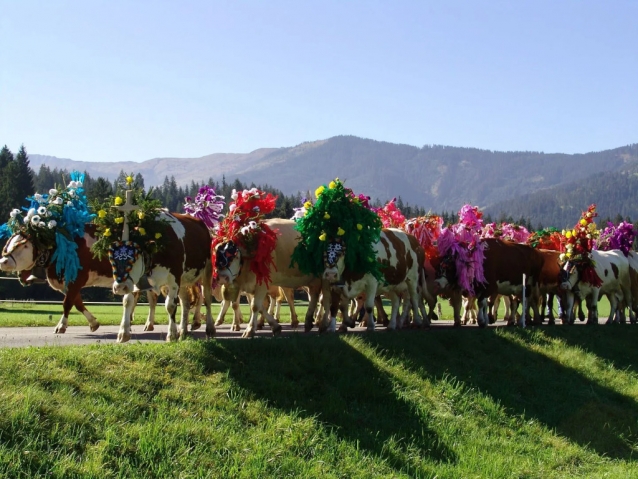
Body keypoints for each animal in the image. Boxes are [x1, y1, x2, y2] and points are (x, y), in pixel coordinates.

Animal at [112, 212, 215, 344]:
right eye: (112, 259)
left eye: (133, 258)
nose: (119, 287)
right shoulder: (134, 282)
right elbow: (127, 301)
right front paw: (123, 333)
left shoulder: (174, 279)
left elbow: (170, 306)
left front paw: (171, 335)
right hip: (183, 280)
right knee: (185, 302)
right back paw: (183, 331)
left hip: (207, 271)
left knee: (207, 298)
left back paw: (210, 328)